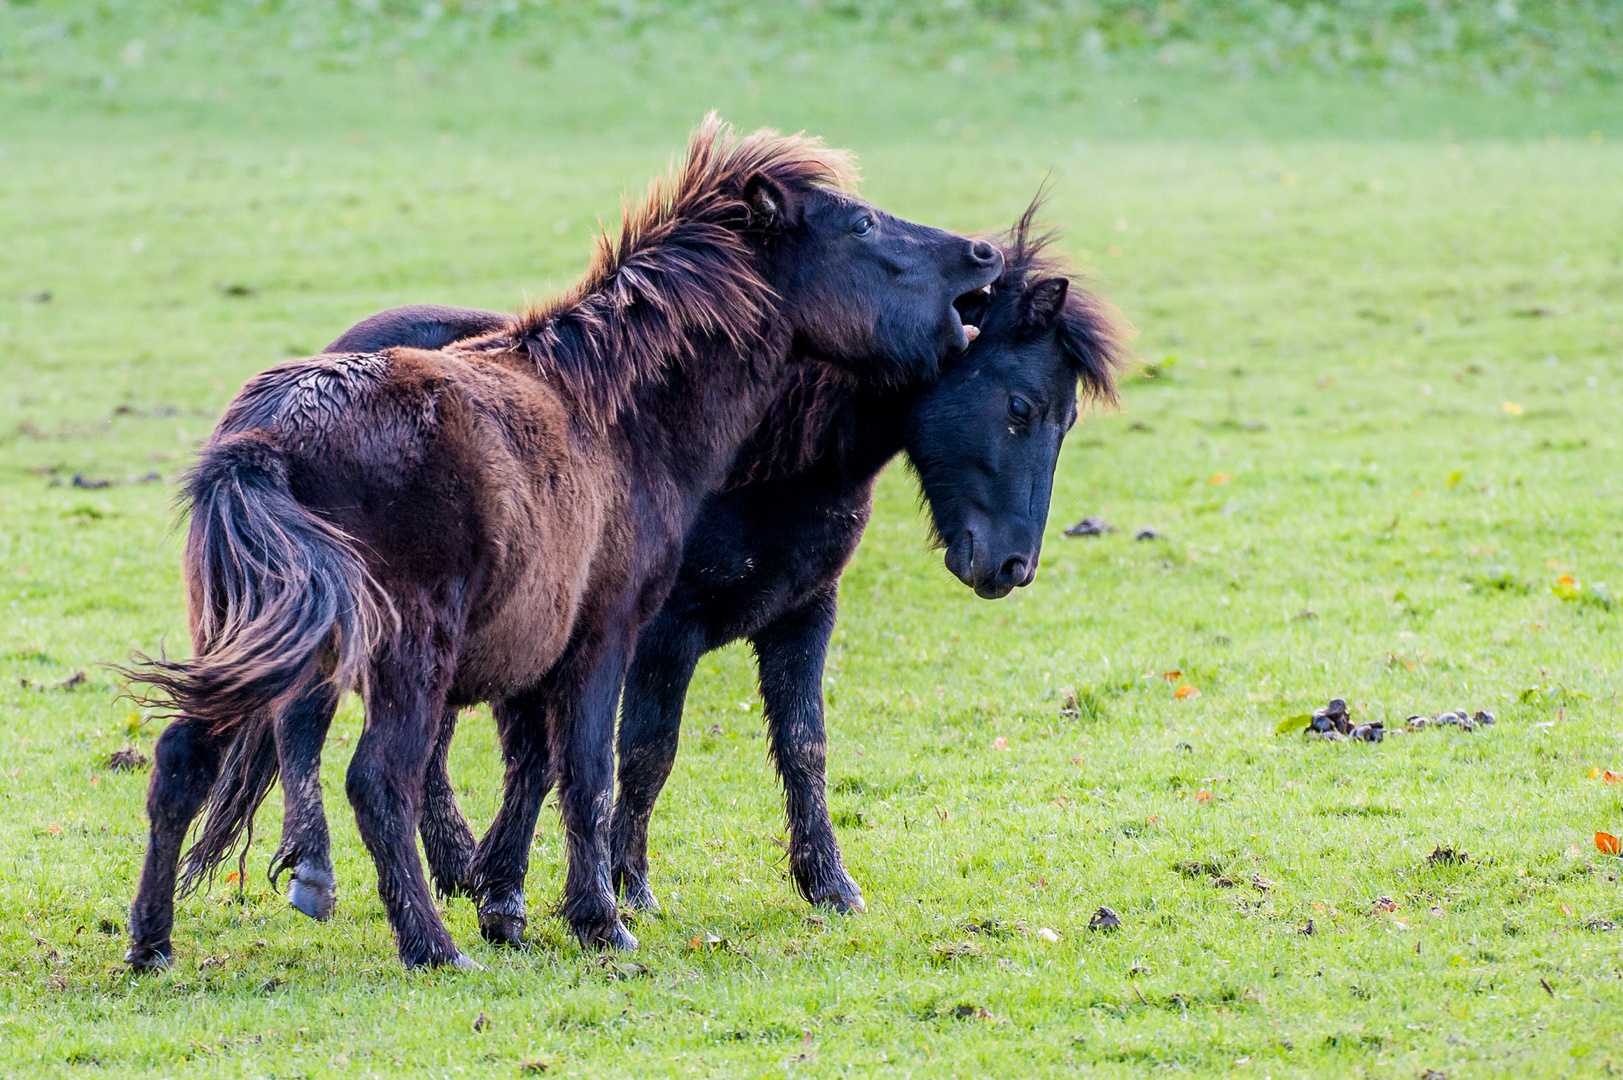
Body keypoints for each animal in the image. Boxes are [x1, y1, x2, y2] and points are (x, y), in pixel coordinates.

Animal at [292, 199, 1123, 935]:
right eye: (1018, 406)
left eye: (1067, 418)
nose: (1011, 566)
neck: (764, 457)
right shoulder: (662, 634)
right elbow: (642, 753)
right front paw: (625, 886)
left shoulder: (804, 614)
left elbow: (804, 746)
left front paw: (828, 883)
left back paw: (454, 870)